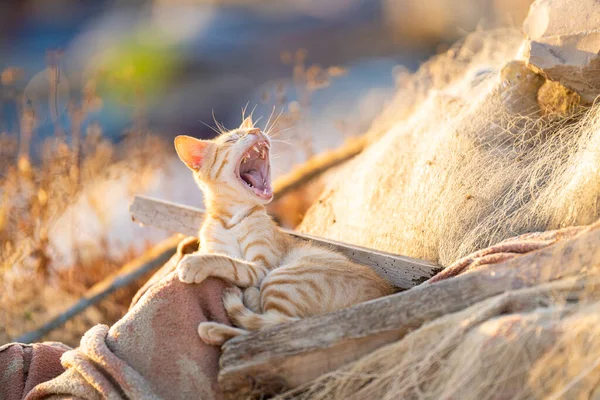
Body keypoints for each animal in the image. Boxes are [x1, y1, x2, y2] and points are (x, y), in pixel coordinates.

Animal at [172, 116, 394, 346]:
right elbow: (224, 256)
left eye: (250, 130)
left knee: (278, 326)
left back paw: (219, 324)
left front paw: (195, 263)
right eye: (231, 139)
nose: (256, 130)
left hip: (282, 277)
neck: (231, 220)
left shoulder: (262, 267)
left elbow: (231, 263)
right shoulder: (218, 247)